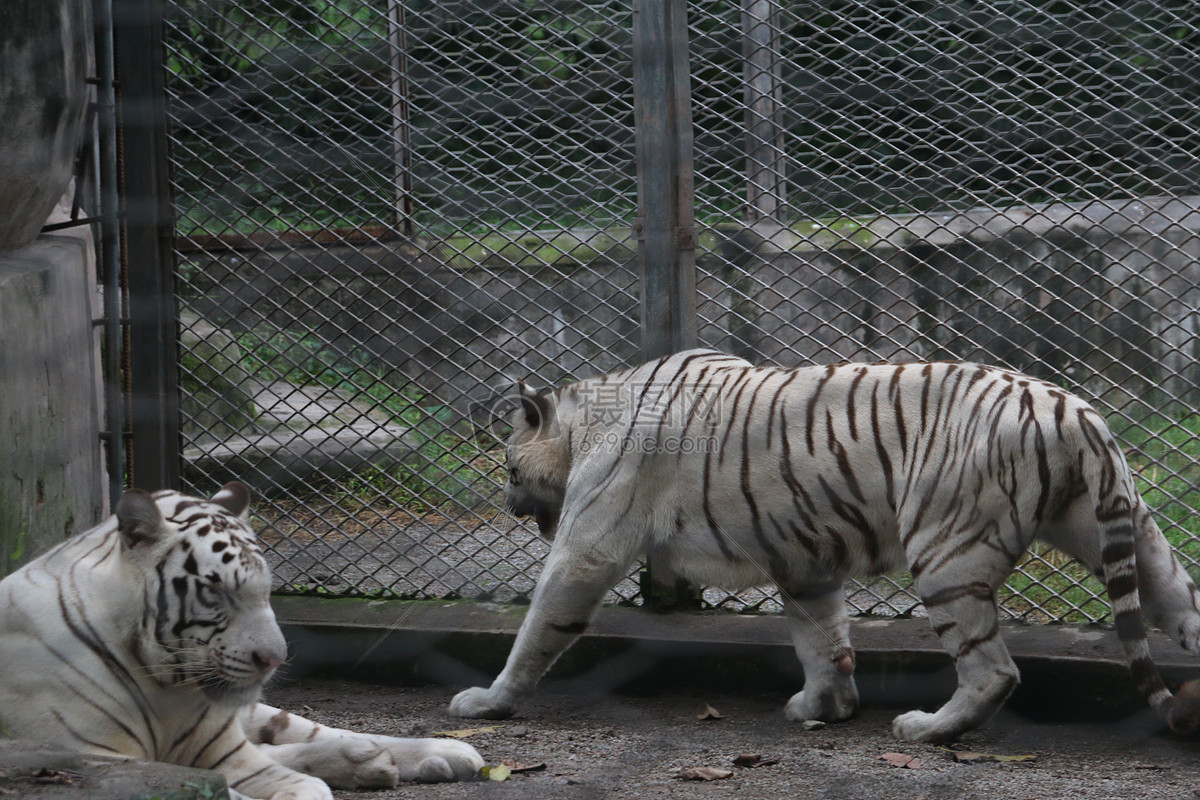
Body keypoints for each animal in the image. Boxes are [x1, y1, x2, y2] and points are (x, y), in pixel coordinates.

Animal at [3, 482, 487, 800]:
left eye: (266, 590)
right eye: (216, 592)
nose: (274, 659)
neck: (164, 687)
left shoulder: (221, 749)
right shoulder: (91, 759)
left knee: (307, 731)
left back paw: (431, 752)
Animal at [448, 350, 1200, 743]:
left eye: (509, 469)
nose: (507, 502)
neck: (586, 419)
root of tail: (1078, 412)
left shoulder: (589, 544)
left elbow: (540, 625)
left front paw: (488, 700)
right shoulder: (805, 559)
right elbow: (822, 638)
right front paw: (823, 707)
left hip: (946, 555)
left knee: (993, 670)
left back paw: (928, 728)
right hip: (1122, 532)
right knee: (1180, 604)